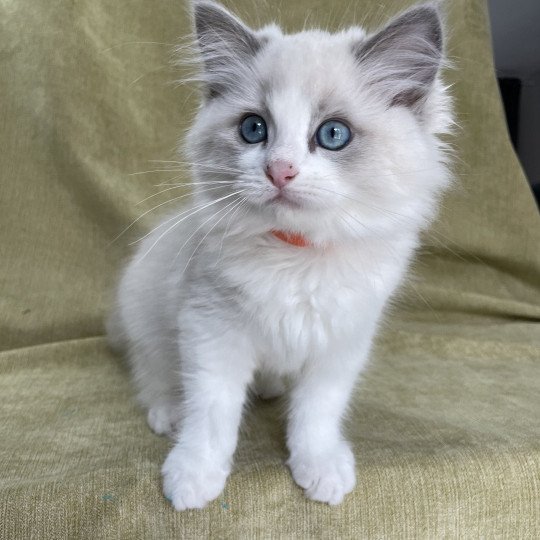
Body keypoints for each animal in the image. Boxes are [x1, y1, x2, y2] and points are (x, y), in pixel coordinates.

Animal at [105, 0, 452, 510]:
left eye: (333, 134)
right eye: (254, 129)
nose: (280, 170)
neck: (295, 255)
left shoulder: (342, 341)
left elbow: (317, 413)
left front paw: (320, 467)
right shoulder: (210, 329)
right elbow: (212, 411)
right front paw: (193, 476)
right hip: (147, 317)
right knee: (153, 371)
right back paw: (168, 410)